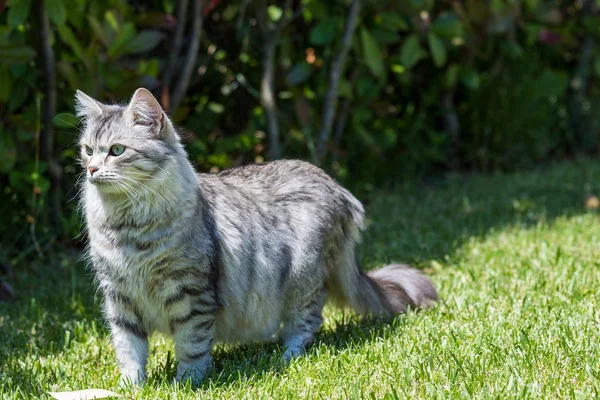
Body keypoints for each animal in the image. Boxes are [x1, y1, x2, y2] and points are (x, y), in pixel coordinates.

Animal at [77, 89, 438, 386]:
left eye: (117, 151)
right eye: (87, 150)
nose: (91, 169)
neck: (127, 228)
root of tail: (336, 187)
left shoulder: (190, 293)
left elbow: (192, 347)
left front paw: (186, 384)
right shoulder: (120, 299)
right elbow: (130, 351)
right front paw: (131, 387)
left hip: (303, 279)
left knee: (307, 323)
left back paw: (288, 357)